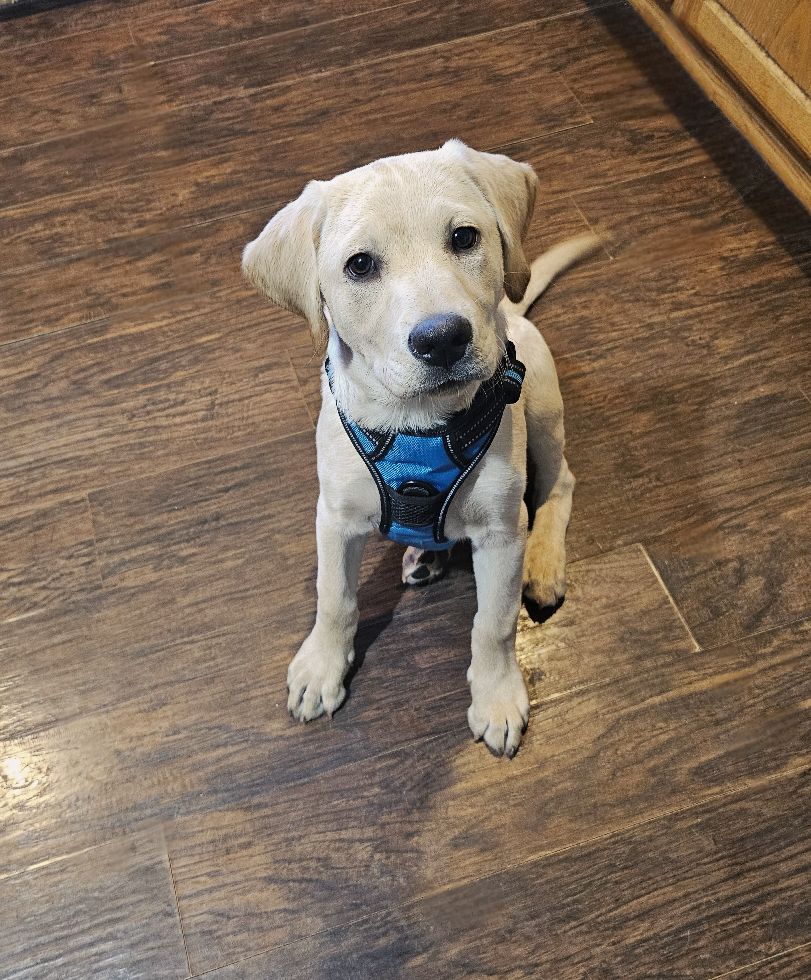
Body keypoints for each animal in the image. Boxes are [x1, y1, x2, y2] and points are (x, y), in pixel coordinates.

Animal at [242, 140, 598, 757]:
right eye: (360, 265)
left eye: (464, 237)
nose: (443, 338)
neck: (417, 423)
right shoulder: (334, 516)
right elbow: (334, 596)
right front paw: (322, 666)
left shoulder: (502, 534)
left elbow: (494, 623)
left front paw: (497, 696)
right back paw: (424, 554)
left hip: (544, 408)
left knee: (559, 484)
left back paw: (544, 562)